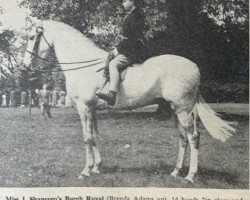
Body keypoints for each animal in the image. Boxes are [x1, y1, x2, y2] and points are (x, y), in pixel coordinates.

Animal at [22, 20, 235, 183]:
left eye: (32, 37)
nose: (25, 66)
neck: (83, 65)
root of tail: (194, 66)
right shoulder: (92, 110)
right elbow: (95, 136)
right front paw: (97, 168)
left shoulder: (84, 109)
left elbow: (87, 138)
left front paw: (86, 171)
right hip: (176, 110)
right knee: (183, 139)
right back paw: (175, 172)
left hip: (183, 109)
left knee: (193, 137)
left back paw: (190, 176)